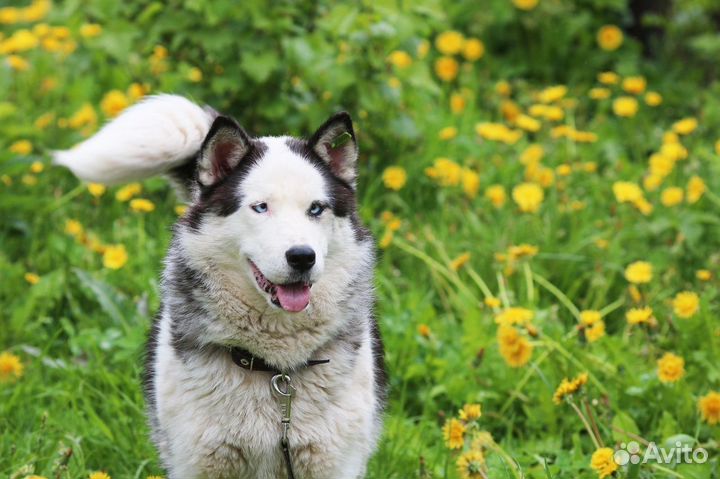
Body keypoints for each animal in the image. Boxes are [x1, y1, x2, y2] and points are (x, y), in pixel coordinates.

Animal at [54, 95, 388, 478]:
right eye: (261, 207)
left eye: (316, 208)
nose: (302, 257)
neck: (274, 371)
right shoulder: (197, 461)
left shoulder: (334, 463)